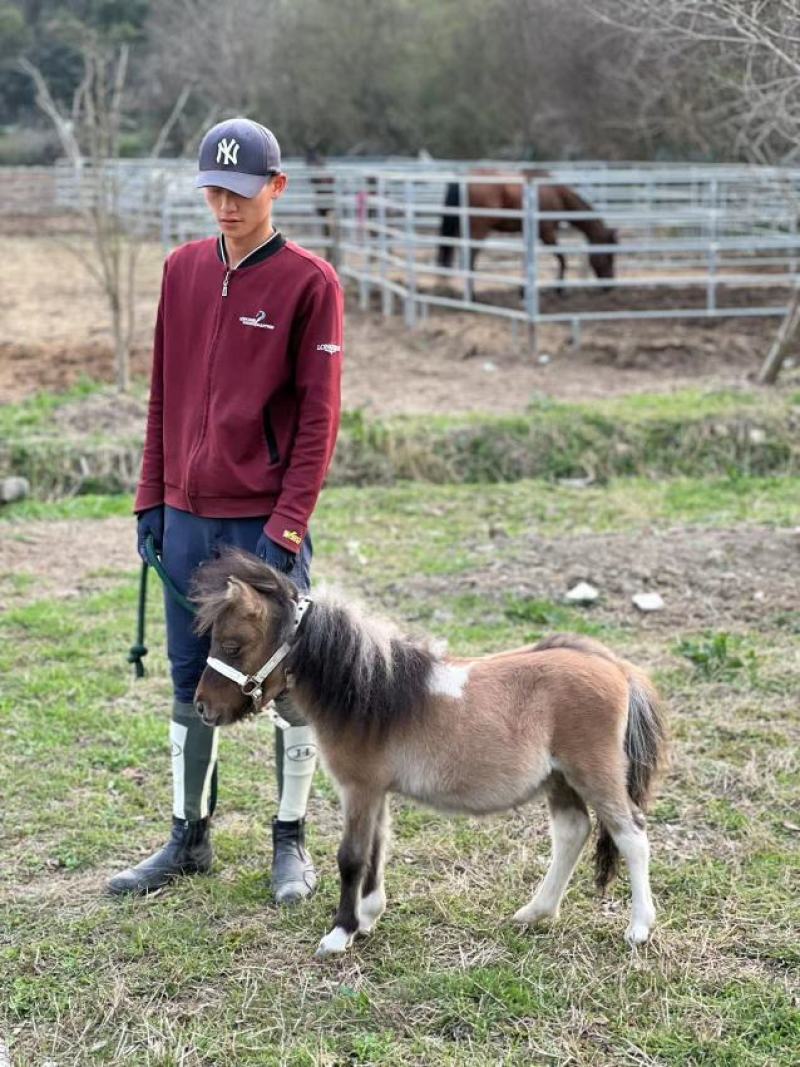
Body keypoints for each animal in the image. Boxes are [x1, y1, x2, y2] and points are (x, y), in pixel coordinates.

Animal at [192, 550, 667, 958]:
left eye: (232, 645)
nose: (202, 707)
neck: (371, 693)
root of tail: (616, 667)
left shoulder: (359, 789)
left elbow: (352, 857)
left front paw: (340, 933)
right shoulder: (377, 792)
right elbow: (377, 849)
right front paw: (368, 918)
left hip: (595, 773)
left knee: (631, 835)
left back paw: (639, 927)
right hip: (559, 779)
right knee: (573, 832)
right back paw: (534, 912)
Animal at [437, 169, 617, 291]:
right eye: (608, 255)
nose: (610, 286)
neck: (555, 194)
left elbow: (527, 262)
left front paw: (523, 292)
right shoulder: (547, 234)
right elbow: (562, 258)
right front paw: (559, 289)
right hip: (479, 230)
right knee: (471, 259)